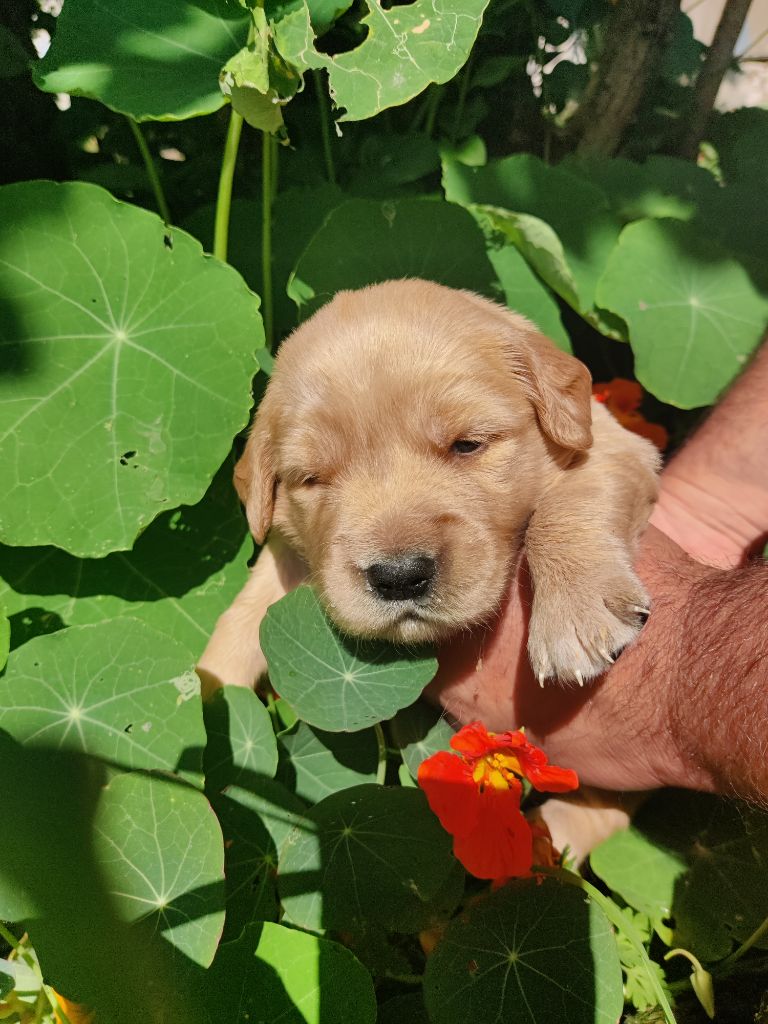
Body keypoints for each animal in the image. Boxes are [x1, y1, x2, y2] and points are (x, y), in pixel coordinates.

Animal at [199, 278, 659, 699]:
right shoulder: (290, 547)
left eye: (467, 444)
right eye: (313, 478)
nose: (399, 577)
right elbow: (250, 606)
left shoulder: (616, 448)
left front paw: (576, 615)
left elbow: (565, 509)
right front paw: (210, 679)